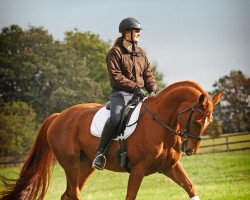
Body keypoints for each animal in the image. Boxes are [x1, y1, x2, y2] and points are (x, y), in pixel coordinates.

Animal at [0, 80, 223, 199]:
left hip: (85, 165)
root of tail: (59, 116)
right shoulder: (138, 170)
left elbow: (191, 187)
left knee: (68, 194)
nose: (191, 150)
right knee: (74, 193)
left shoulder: (170, 166)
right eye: (197, 119)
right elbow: (130, 196)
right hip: (71, 164)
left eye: (209, 121)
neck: (159, 124)